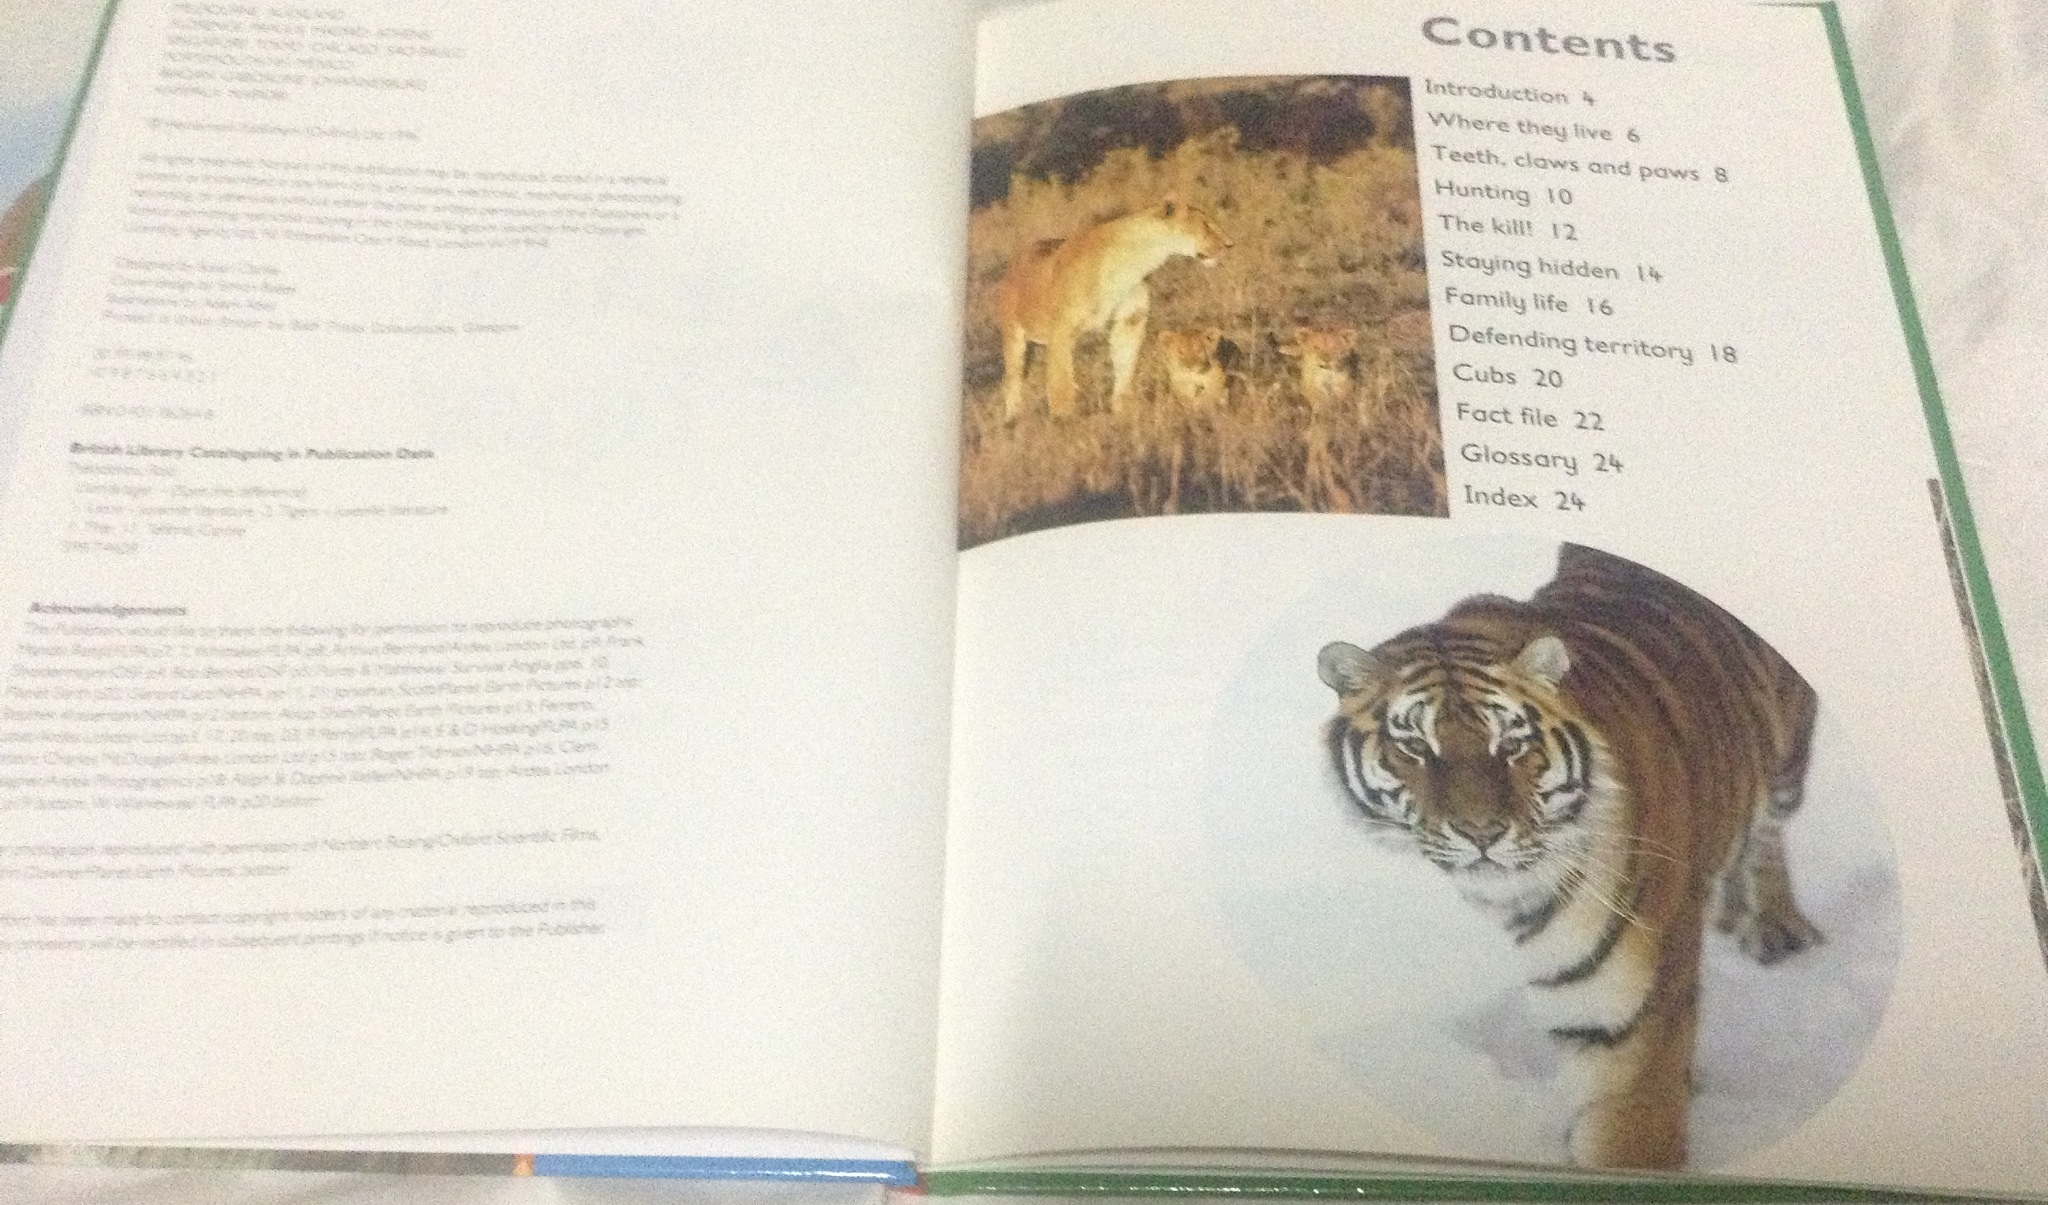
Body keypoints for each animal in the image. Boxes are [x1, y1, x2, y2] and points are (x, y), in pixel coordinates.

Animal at [996, 199, 1230, 421]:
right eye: (1206, 225)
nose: (1230, 244)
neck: (1137, 261)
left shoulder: (1130, 322)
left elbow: (1125, 369)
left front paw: (1123, 411)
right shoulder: (1062, 331)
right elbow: (1060, 382)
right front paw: (1063, 421)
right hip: (1014, 335)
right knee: (1013, 380)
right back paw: (1012, 420)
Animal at [1315, 543, 1822, 1170]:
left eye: (1511, 744)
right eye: (1413, 747)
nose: (1481, 832)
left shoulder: (1628, 1035)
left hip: (1786, 761)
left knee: (1766, 831)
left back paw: (1776, 928)